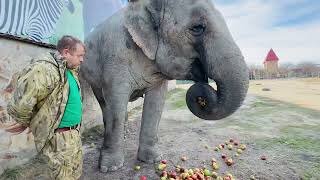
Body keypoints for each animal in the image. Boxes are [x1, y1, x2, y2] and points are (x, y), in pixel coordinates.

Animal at [80, 0, 250, 172]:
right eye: (197, 28)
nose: (203, 94)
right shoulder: (115, 59)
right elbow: (116, 101)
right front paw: (110, 168)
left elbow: (156, 102)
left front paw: (152, 159)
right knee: (104, 103)